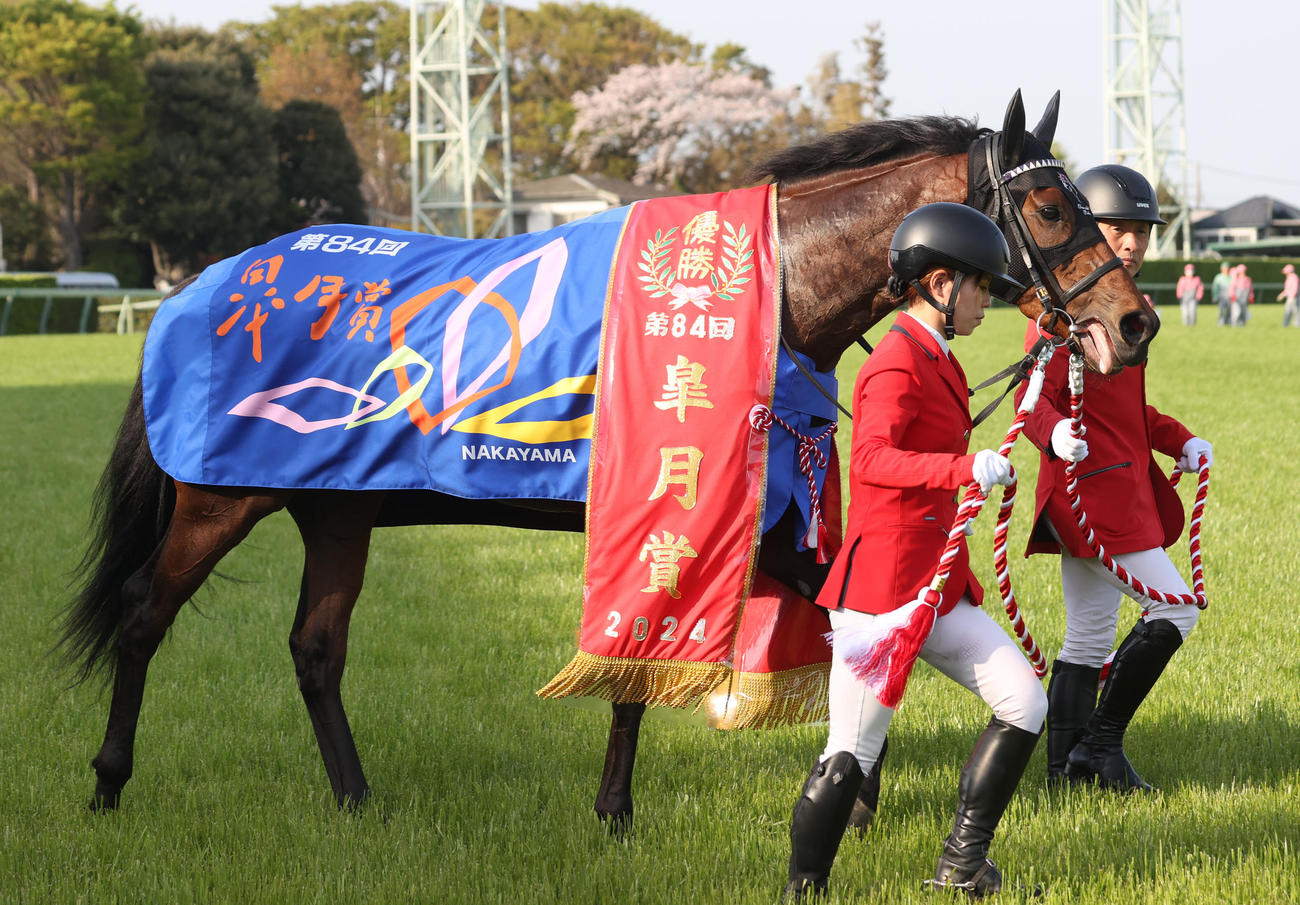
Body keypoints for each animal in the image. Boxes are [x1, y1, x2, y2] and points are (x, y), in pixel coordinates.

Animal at [59, 90, 1158, 828]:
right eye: (1051, 210)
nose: (1134, 321)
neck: (765, 297)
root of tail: (198, 287)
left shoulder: (763, 523)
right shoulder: (677, 507)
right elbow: (649, 658)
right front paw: (633, 807)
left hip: (339, 508)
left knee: (315, 647)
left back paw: (356, 797)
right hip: (219, 498)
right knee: (145, 615)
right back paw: (108, 781)